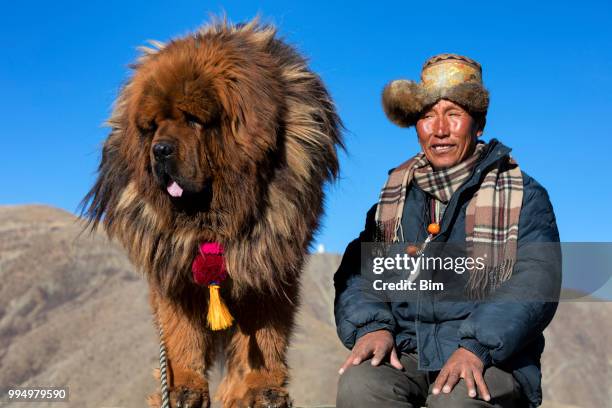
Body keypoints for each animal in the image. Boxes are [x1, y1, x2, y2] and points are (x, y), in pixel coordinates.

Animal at [81, 17, 342, 406]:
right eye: (154, 124)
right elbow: (180, 334)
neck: (214, 218)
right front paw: (183, 385)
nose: (160, 150)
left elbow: (266, 333)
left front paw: (264, 387)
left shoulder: (267, 263)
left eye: (192, 120)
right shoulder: (174, 268)